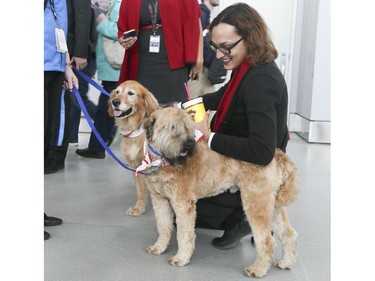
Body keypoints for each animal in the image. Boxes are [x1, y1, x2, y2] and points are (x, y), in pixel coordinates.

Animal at [108, 80, 159, 215]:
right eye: (117, 92)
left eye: (130, 93)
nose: (115, 102)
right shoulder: (136, 166)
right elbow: (140, 191)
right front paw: (138, 208)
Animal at [141, 107, 300, 278]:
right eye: (171, 127)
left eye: (187, 127)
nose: (189, 144)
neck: (163, 161)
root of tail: (277, 154)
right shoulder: (159, 200)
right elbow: (163, 226)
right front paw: (159, 247)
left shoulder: (183, 203)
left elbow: (185, 234)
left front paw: (181, 258)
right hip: (272, 205)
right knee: (289, 234)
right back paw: (286, 262)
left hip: (256, 202)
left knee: (267, 241)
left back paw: (258, 269)